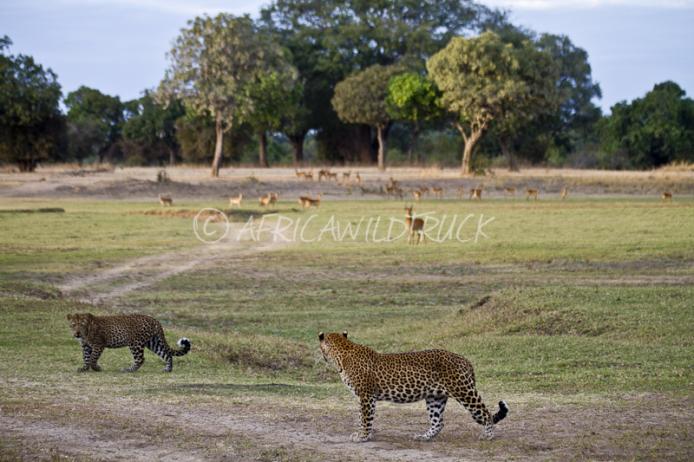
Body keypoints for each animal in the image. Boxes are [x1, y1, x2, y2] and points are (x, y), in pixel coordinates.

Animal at [320, 330, 512, 442]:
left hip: (464, 391)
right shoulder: (364, 397)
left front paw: (363, 436)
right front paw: (362, 434)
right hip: (435, 397)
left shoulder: (366, 395)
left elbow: (366, 417)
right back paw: (423, 437)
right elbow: (362, 417)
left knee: (485, 413)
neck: (341, 353)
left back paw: (488, 435)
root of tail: (465, 360)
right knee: (438, 422)